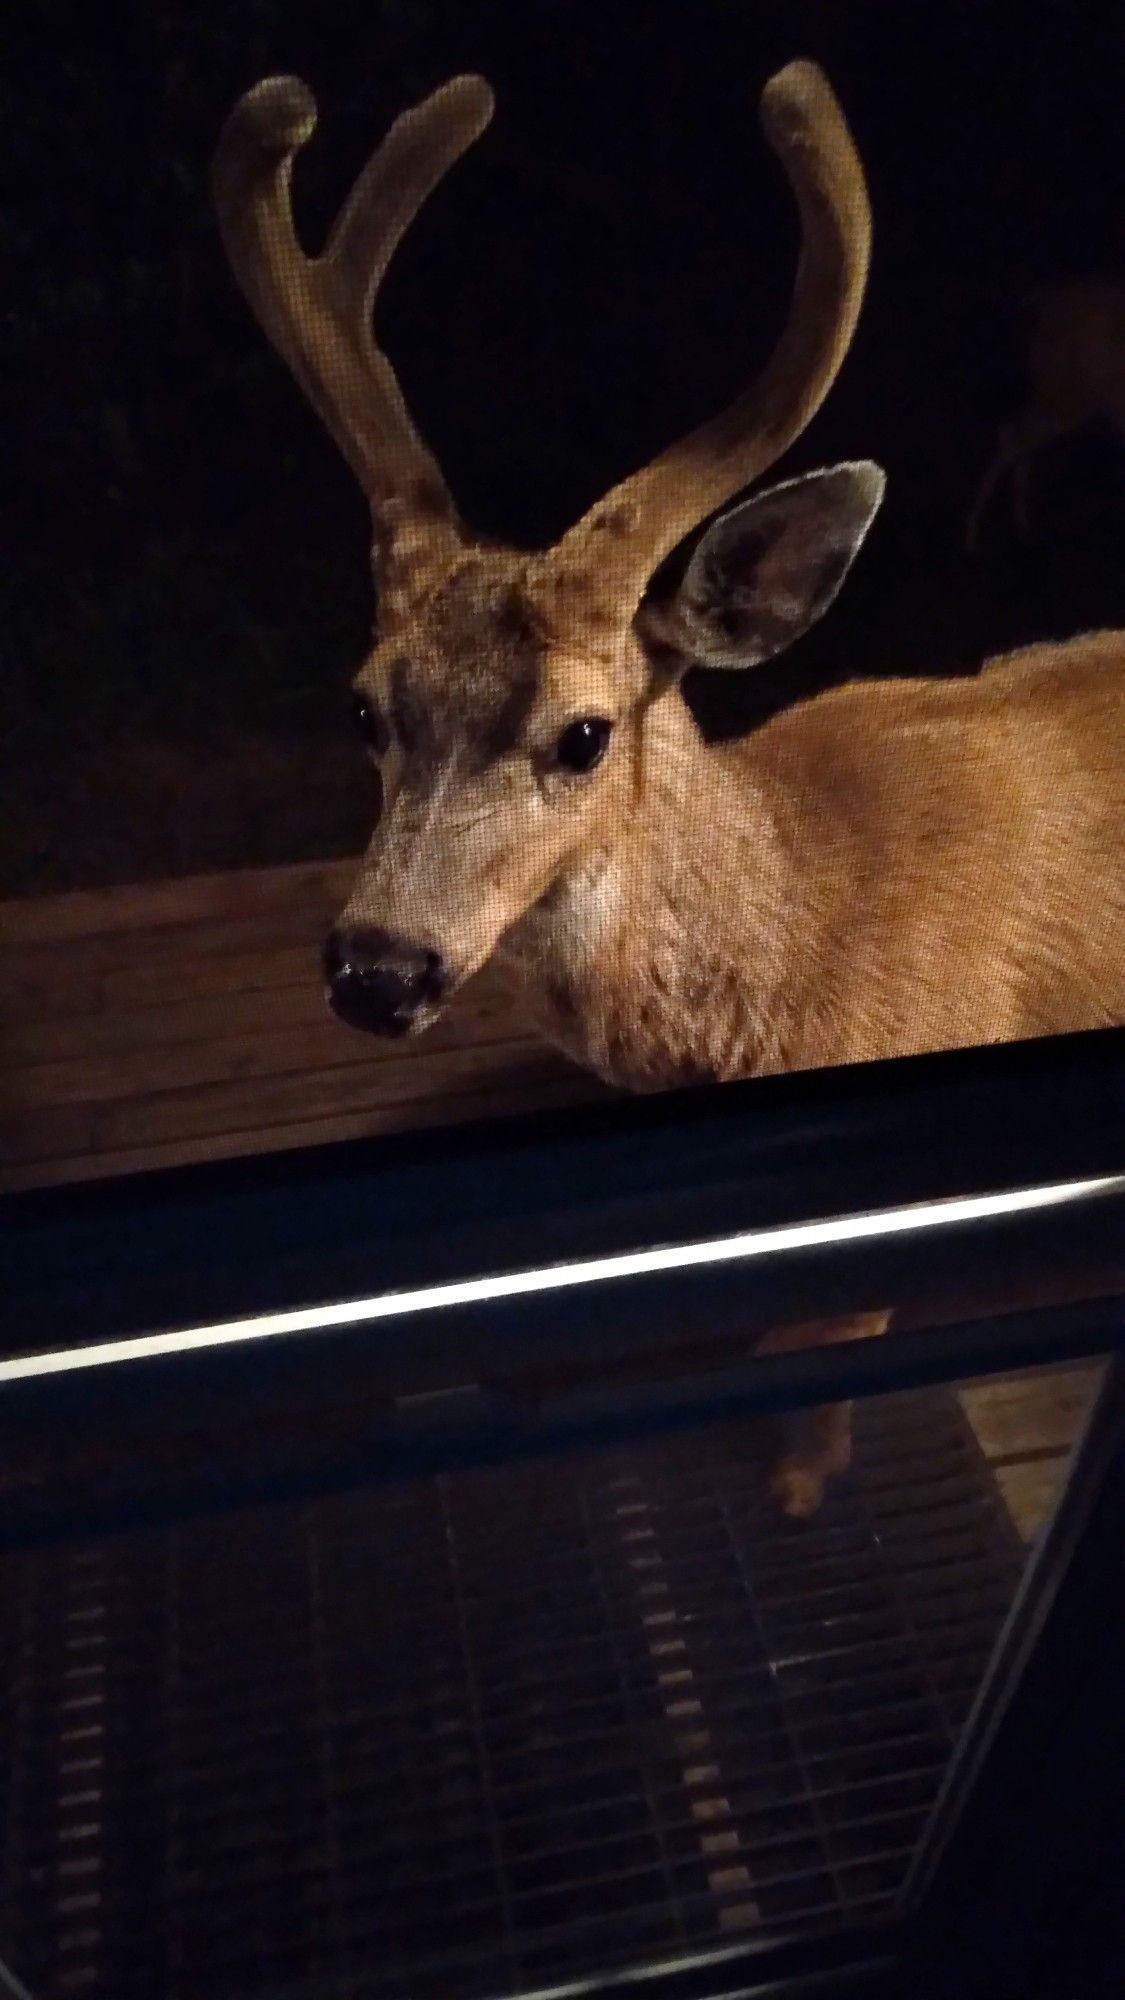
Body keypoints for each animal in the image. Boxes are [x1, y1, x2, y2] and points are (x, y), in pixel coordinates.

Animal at [960, 274, 1120, 552]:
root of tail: (1044, 303)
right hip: (1067, 395)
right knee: (1011, 435)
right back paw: (974, 534)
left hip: (1065, 398)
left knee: (1016, 436)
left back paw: (1021, 526)